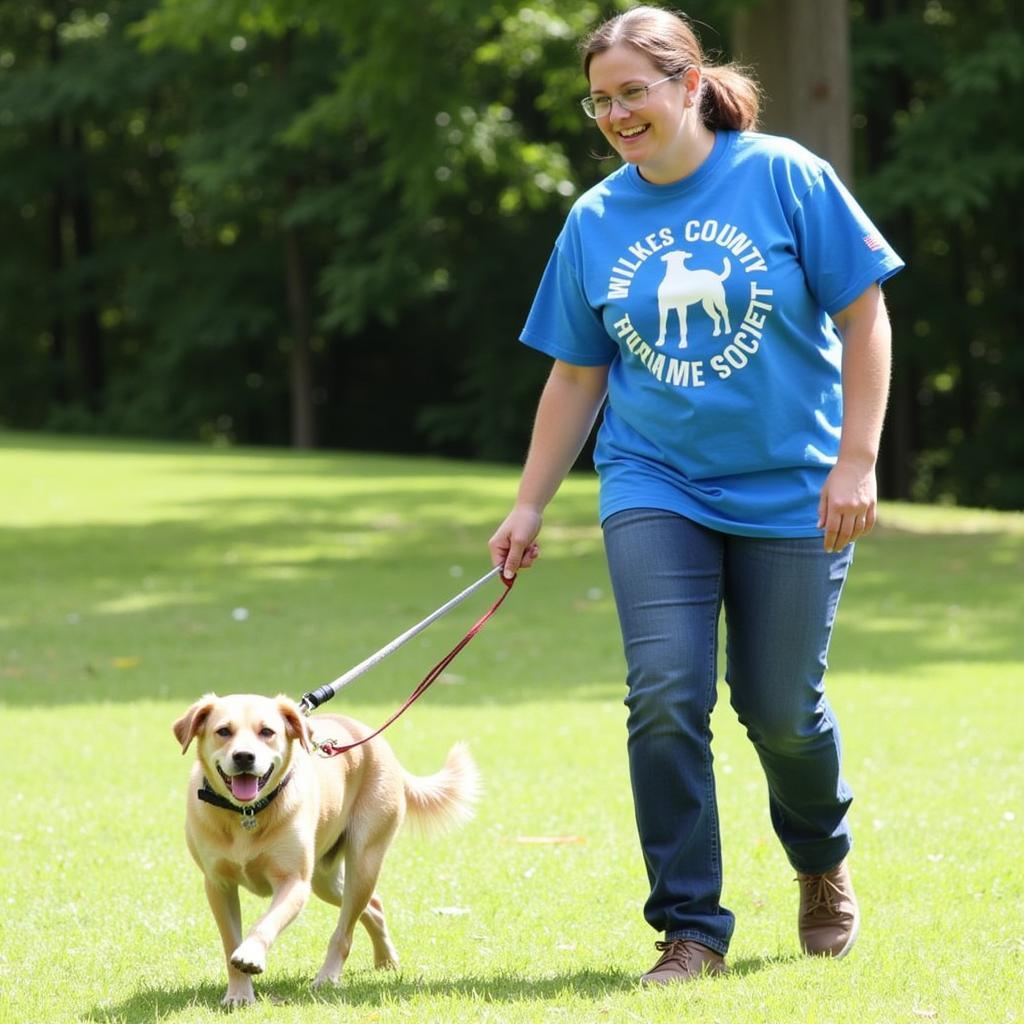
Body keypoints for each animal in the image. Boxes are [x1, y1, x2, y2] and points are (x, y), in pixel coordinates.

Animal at [173, 692, 479, 1003]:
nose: (244, 756)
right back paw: (386, 960)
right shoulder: (218, 885)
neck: (247, 814)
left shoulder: (295, 883)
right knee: (374, 905)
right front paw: (239, 994)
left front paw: (250, 954)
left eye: (267, 732)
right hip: (325, 879)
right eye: (224, 731)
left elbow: (264, 923)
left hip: (363, 861)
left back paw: (328, 977)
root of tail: (376, 741)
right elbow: (229, 943)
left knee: (345, 931)